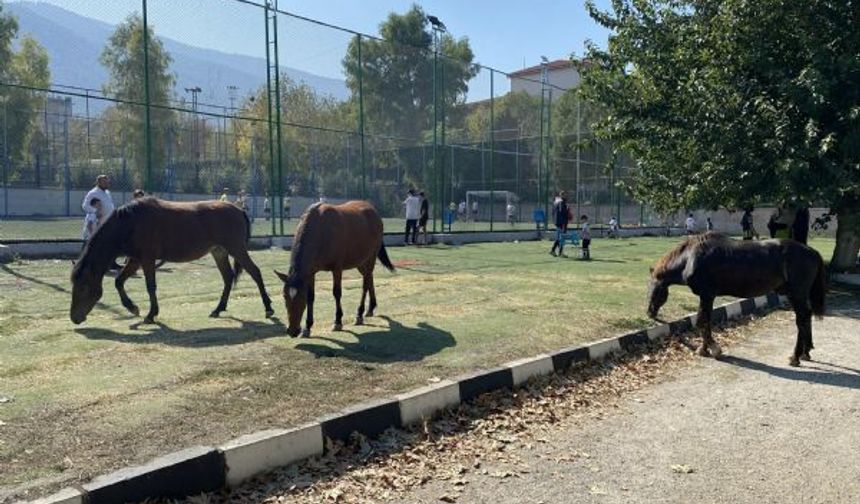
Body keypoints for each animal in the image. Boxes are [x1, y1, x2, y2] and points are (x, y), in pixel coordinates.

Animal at [70, 195, 272, 324]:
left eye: (83, 287)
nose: (74, 318)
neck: (130, 223)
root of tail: (238, 209)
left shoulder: (147, 259)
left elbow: (150, 286)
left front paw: (151, 314)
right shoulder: (135, 259)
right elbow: (119, 281)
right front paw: (133, 307)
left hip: (236, 248)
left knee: (255, 272)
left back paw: (268, 308)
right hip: (219, 252)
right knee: (228, 278)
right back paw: (218, 309)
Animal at [276, 201, 396, 338]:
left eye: (301, 298)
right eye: (284, 296)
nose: (292, 331)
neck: (320, 230)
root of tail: (374, 212)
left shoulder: (337, 268)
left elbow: (336, 293)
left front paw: (338, 321)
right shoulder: (310, 272)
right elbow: (311, 297)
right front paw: (308, 327)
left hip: (371, 257)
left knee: (365, 284)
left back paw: (359, 314)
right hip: (360, 261)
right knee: (369, 277)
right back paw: (370, 308)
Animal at [644, 232, 828, 366]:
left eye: (652, 289)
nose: (649, 312)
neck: (690, 258)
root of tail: (812, 252)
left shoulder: (707, 295)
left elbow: (703, 321)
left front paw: (714, 349)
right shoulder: (706, 297)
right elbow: (704, 320)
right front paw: (703, 349)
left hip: (797, 294)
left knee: (801, 320)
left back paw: (795, 357)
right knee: (806, 317)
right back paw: (806, 352)